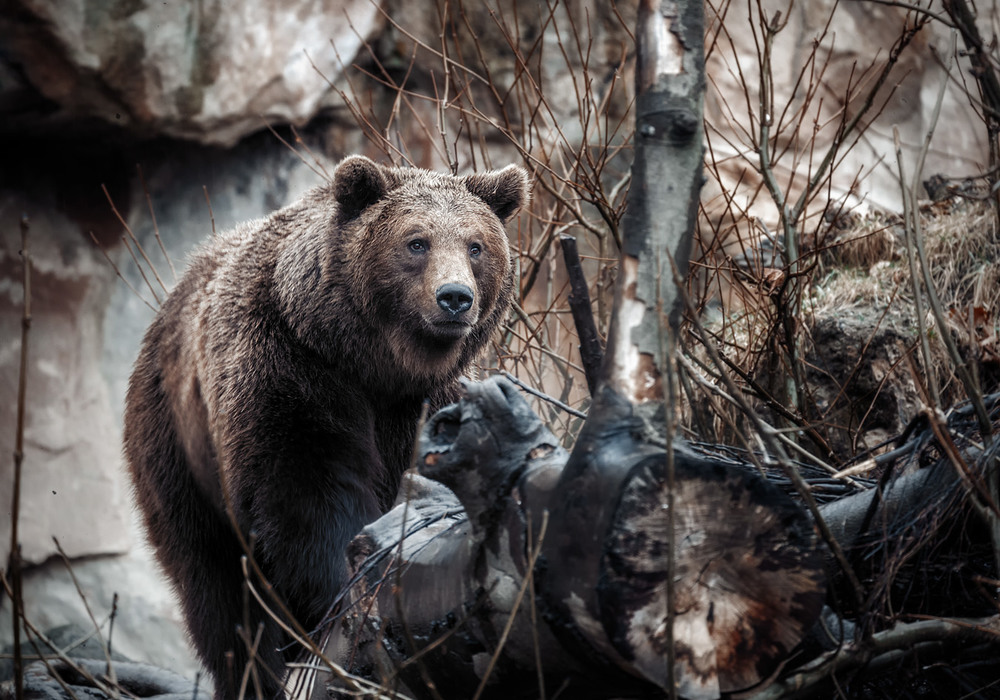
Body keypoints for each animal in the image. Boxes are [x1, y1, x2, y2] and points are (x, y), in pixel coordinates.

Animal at [123, 157, 532, 700]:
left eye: (476, 245)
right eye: (416, 242)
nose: (455, 298)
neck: (372, 363)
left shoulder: (427, 404)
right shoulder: (289, 369)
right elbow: (307, 492)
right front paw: (345, 596)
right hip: (175, 446)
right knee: (215, 586)